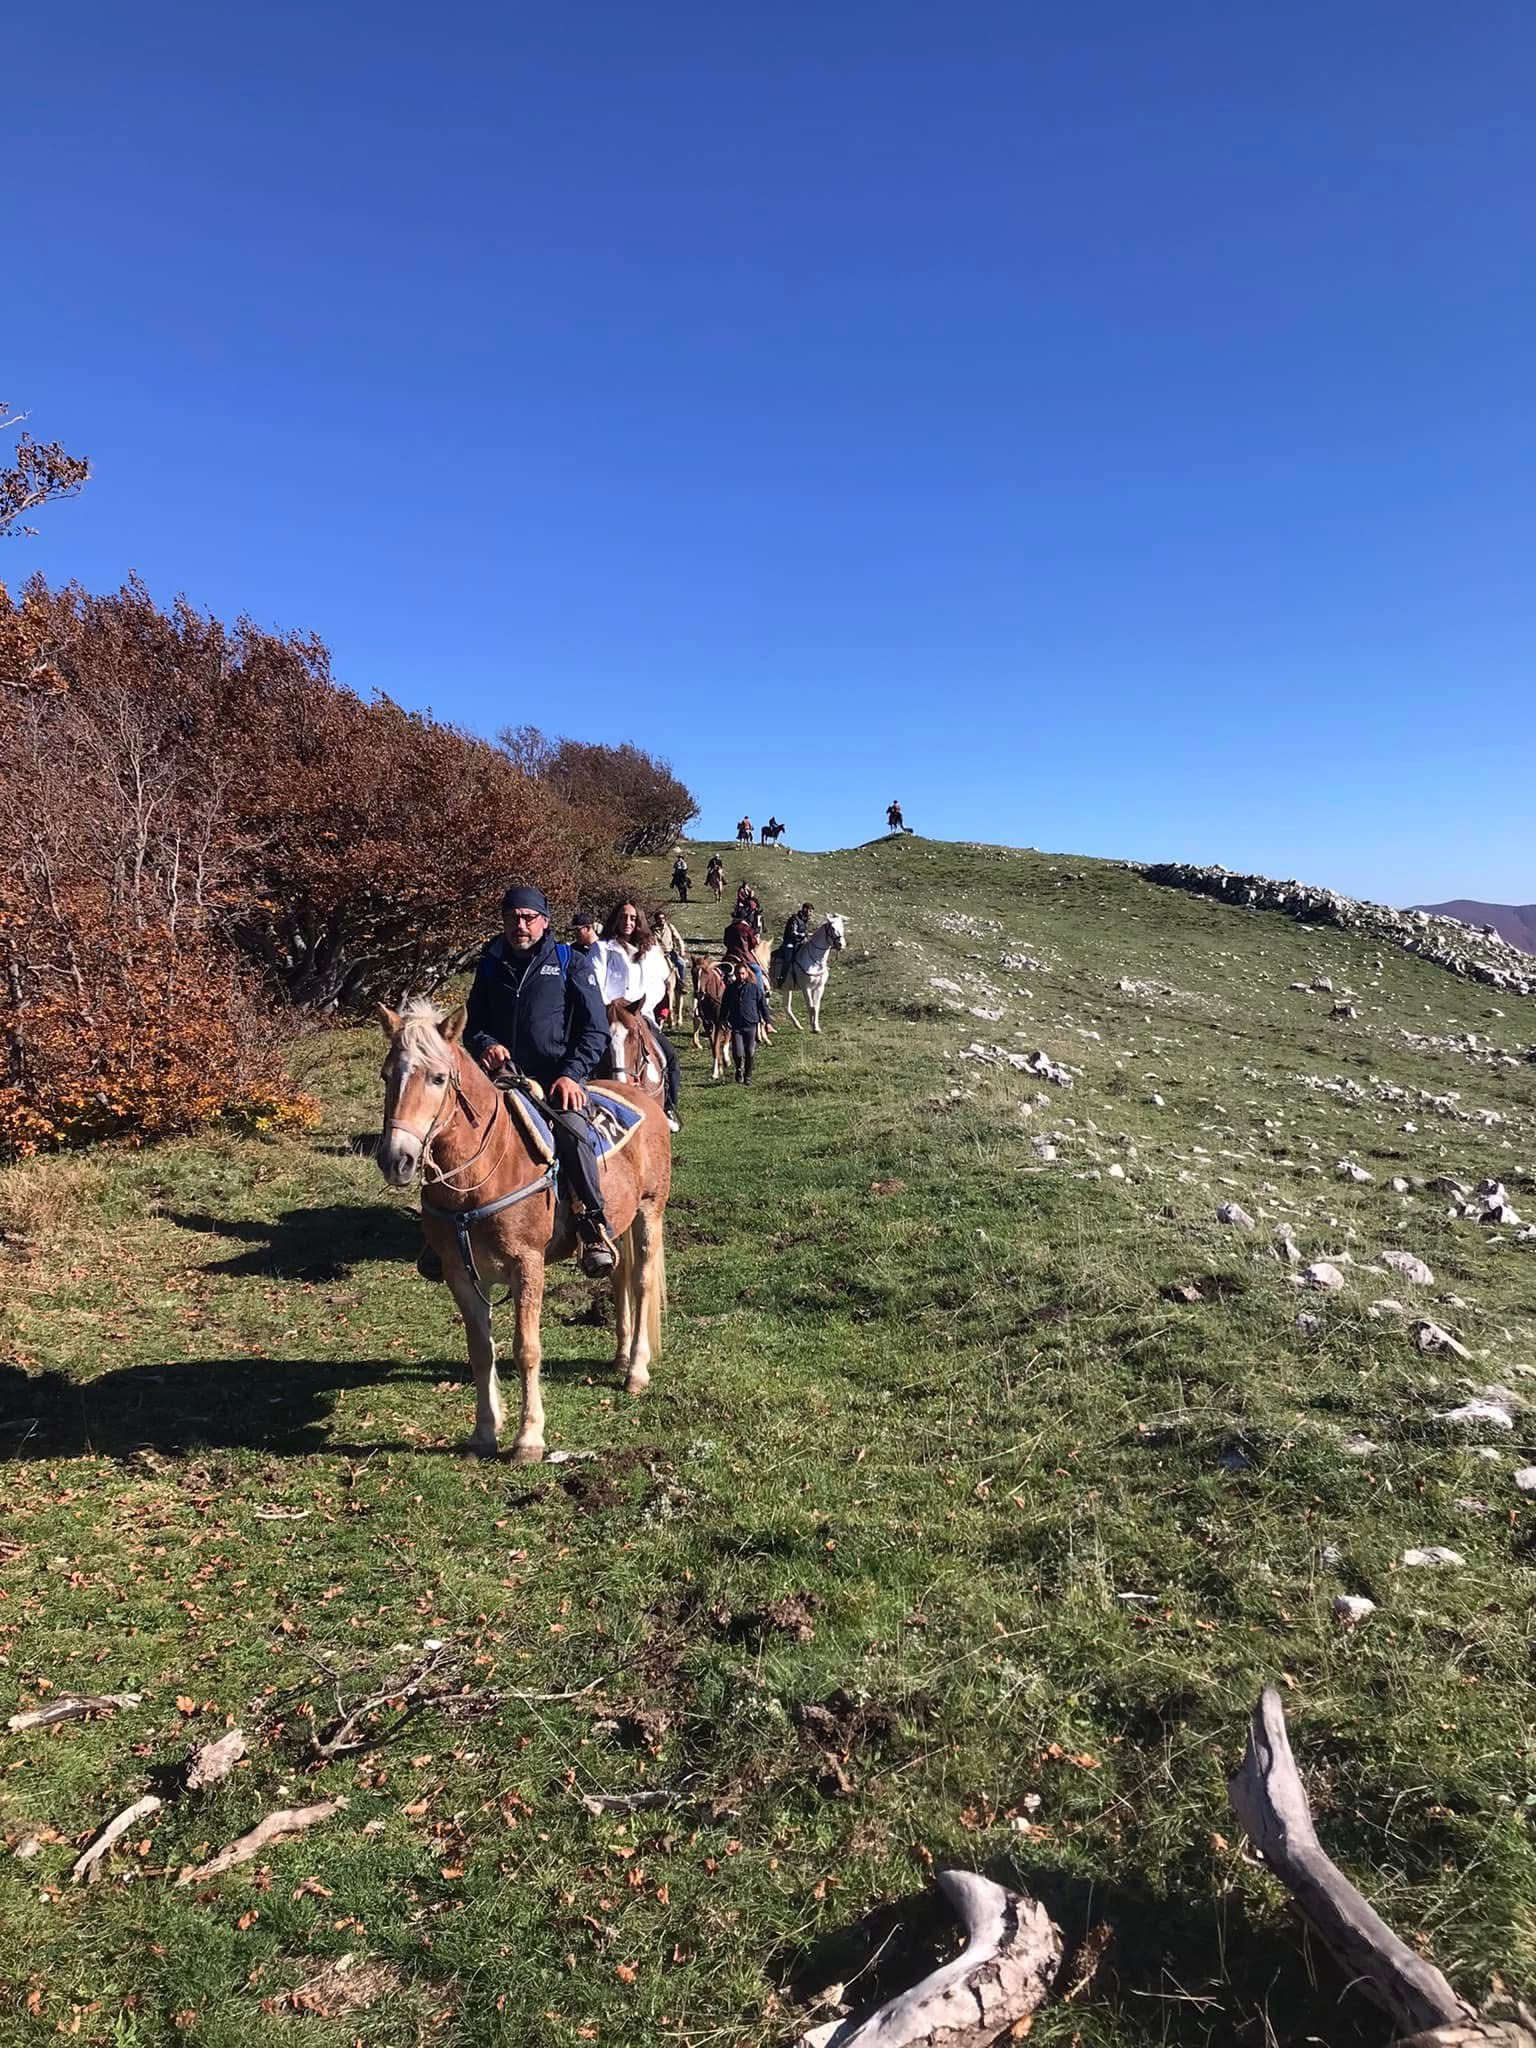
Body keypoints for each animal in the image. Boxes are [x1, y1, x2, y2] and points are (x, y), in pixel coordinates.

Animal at [375, 1000, 671, 1462]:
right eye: (387, 1075)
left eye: (438, 1078)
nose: (396, 1159)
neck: (479, 1175)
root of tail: (642, 1097)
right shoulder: (460, 1273)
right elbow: (481, 1351)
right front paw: (483, 1433)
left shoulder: (527, 1264)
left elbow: (526, 1349)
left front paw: (529, 1437)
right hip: (615, 1224)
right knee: (619, 1275)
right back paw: (622, 1356)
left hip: (648, 1212)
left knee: (640, 1282)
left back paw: (636, 1370)